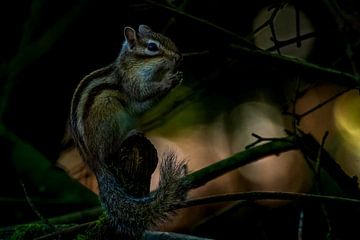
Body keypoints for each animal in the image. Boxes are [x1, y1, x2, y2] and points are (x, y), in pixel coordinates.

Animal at [69, 24, 190, 238]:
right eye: (152, 47)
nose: (179, 56)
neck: (135, 66)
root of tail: (92, 160)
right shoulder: (131, 83)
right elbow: (142, 93)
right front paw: (168, 81)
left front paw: (176, 78)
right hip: (108, 113)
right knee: (108, 151)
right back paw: (129, 135)